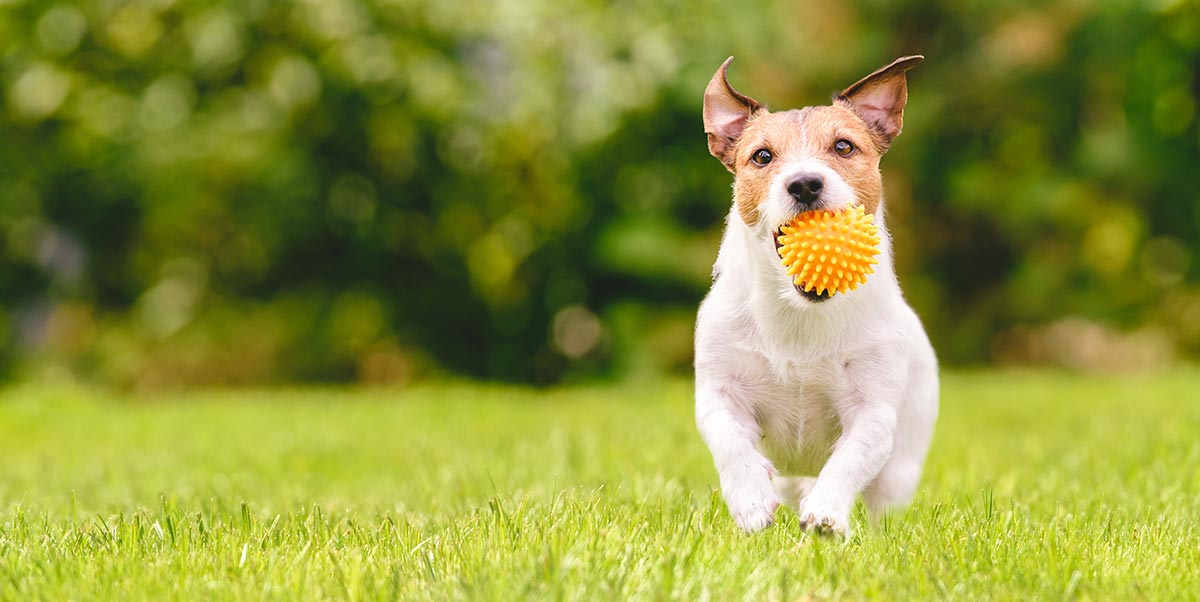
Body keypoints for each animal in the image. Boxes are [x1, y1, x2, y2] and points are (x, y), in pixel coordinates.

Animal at [696, 56, 936, 537]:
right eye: (762, 156)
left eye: (843, 147)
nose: (805, 183)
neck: (799, 314)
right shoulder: (718, 391)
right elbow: (730, 442)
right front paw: (751, 500)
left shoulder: (872, 410)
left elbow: (850, 459)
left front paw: (826, 513)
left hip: (902, 464)